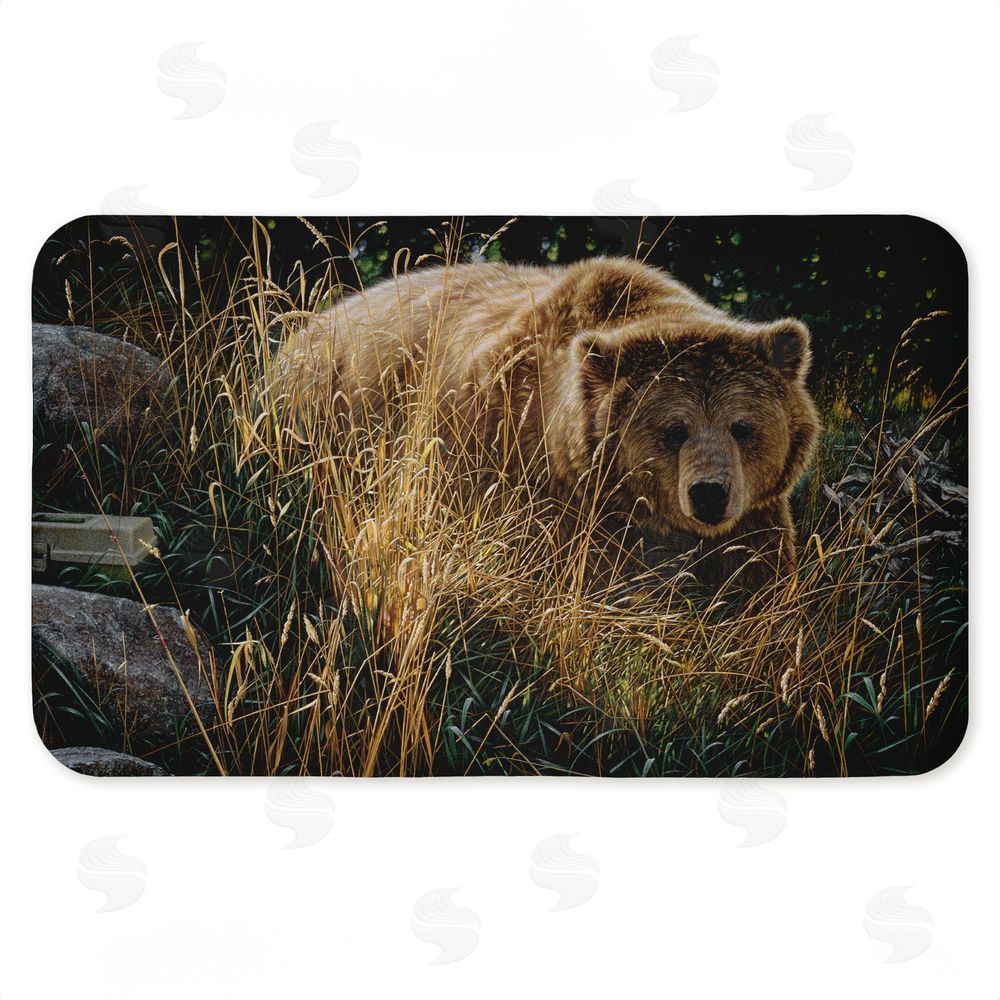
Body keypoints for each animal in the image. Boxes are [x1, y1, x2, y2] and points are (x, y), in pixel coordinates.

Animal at [269, 256, 820, 589]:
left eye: (742, 426)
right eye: (674, 429)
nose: (709, 493)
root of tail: (302, 331)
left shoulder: (752, 520)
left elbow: (755, 583)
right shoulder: (518, 469)